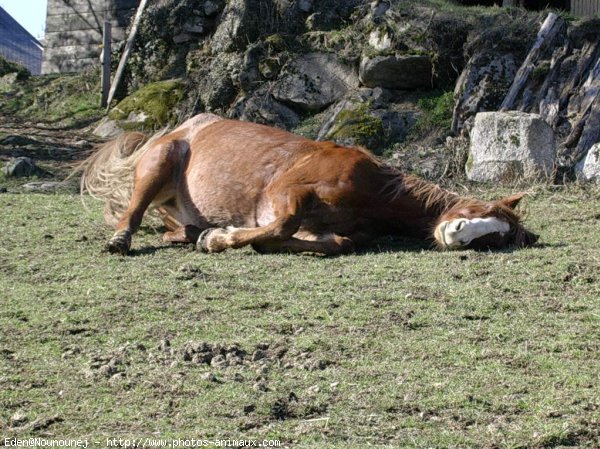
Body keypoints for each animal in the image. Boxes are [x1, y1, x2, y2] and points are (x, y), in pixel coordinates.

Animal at [81, 113, 540, 256]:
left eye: (494, 239)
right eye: (478, 211)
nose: (457, 233)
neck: (374, 193)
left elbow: (337, 243)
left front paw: (231, 237)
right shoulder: (287, 192)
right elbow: (281, 223)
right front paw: (221, 238)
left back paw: (195, 232)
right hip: (159, 162)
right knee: (132, 212)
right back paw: (123, 240)